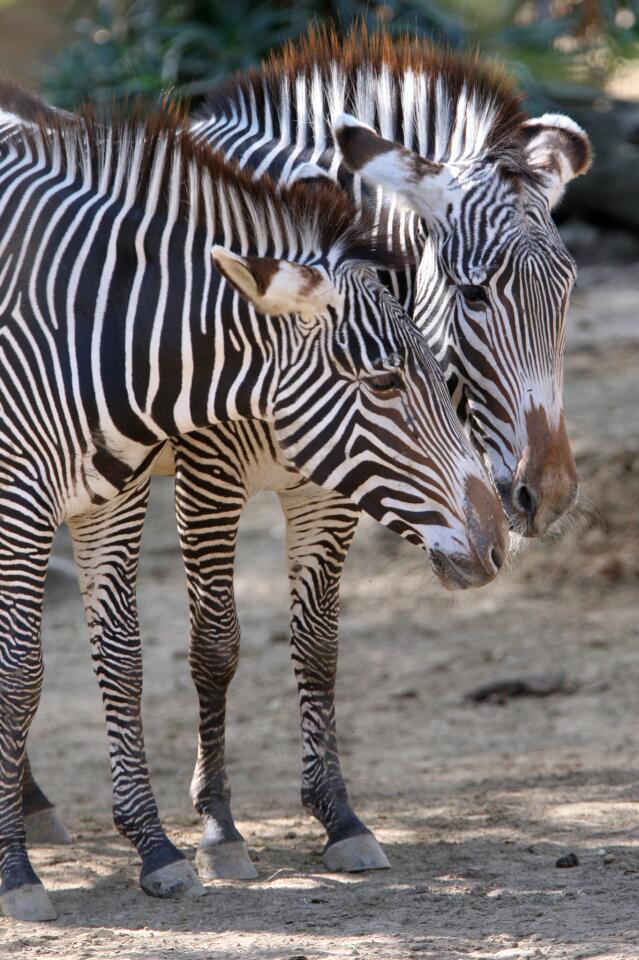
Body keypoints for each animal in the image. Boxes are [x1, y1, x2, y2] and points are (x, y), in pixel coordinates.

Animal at [18, 30, 596, 884]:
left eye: (566, 294)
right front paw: (219, 824)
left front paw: (337, 816)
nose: (547, 495)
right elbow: (215, 645)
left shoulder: (329, 493)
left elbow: (318, 645)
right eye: (473, 294)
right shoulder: (208, 477)